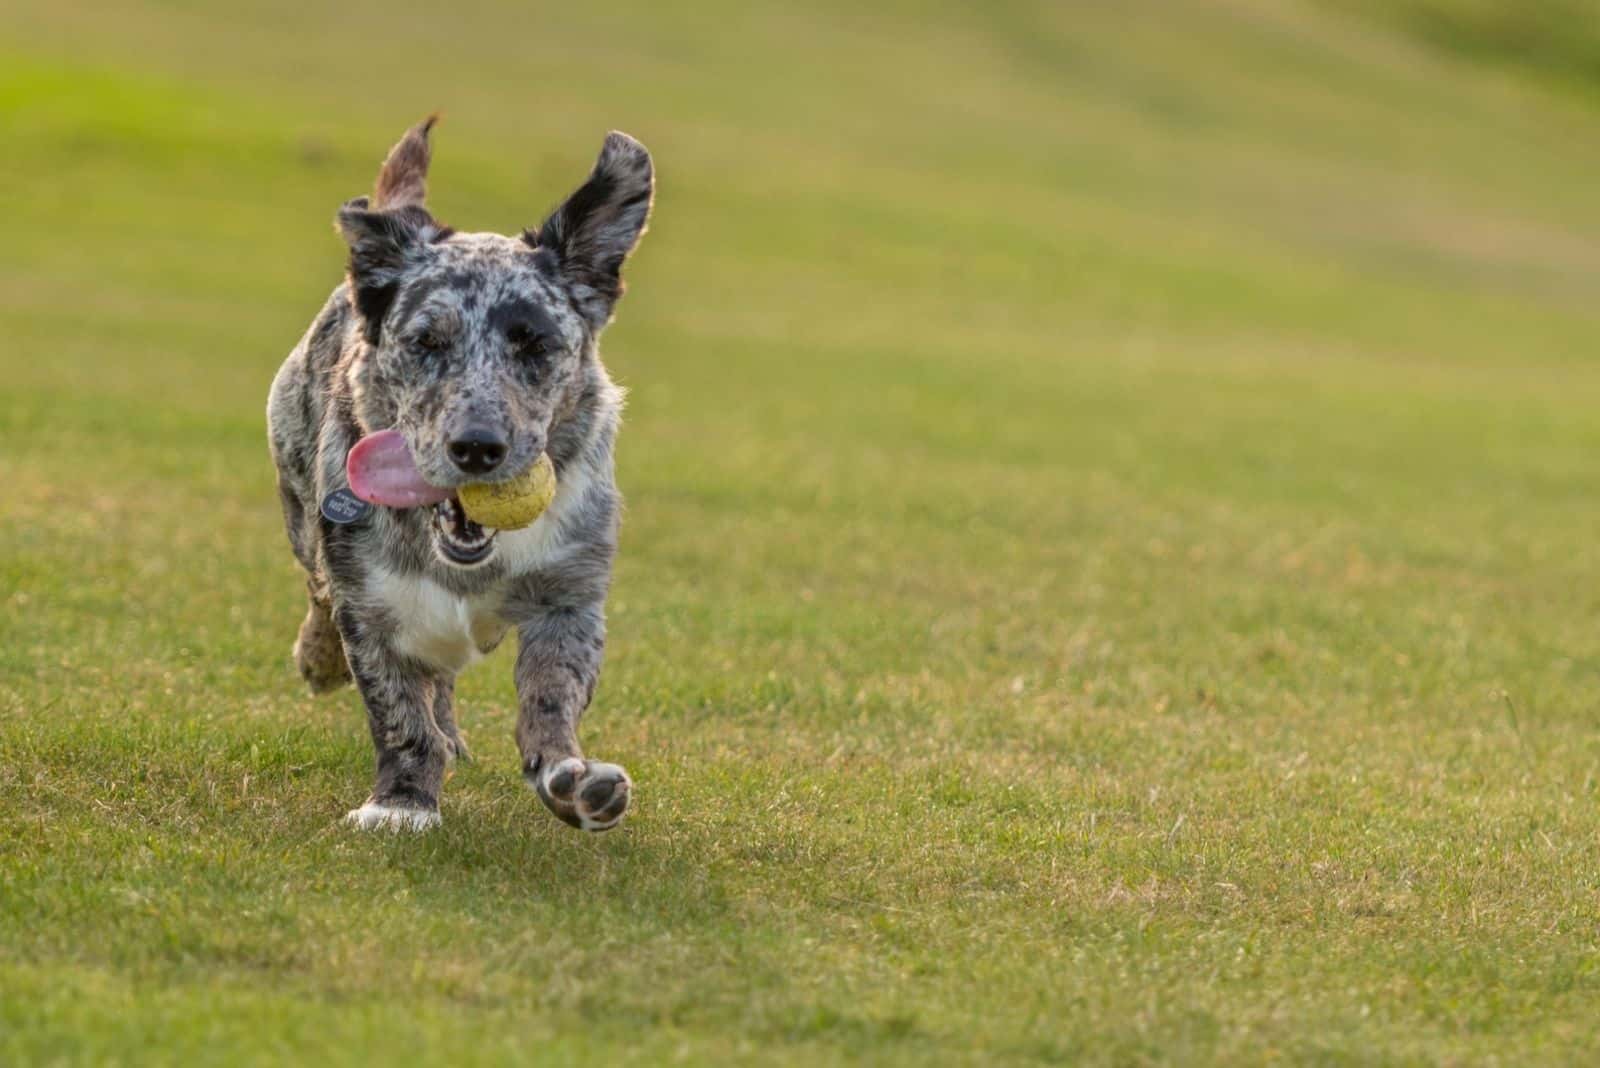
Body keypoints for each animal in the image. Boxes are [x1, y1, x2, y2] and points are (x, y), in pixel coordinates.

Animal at [265, 119, 652, 831]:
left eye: (535, 343)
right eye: (427, 342)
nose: (477, 448)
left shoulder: (571, 595)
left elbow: (552, 692)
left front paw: (572, 780)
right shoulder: (370, 606)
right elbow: (399, 713)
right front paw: (401, 804)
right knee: (320, 594)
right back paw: (319, 659)